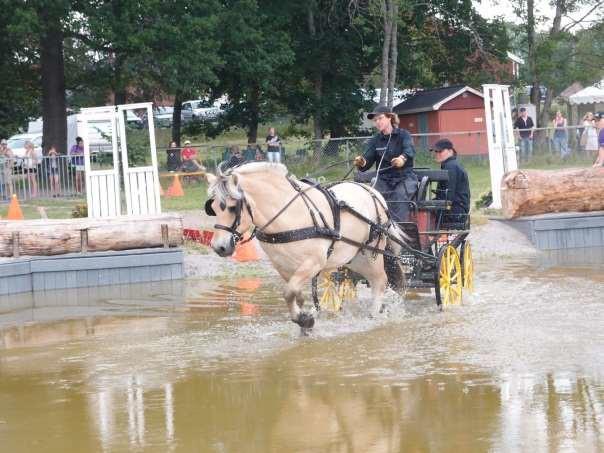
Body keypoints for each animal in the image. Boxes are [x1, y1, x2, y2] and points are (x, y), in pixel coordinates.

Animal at [204, 161, 406, 330]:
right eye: (212, 208)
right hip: (353, 258)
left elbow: (289, 292)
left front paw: (304, 319)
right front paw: (303, 316)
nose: (219, 247)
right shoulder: (283, 266)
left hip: (370, 254)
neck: (289, 216)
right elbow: (294, 293)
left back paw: (373, 316)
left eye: (232, 208)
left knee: (379, 281)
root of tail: (372, 192)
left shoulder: (314, 262)